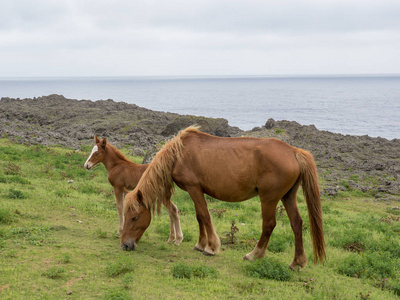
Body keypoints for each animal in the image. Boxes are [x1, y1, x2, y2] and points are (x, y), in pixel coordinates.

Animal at [119, 126, 324, 270]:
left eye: (135, 217)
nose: (125, 245)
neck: (179, 154)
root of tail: (294, 152)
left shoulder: (194, 189)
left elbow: (204, 216)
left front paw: (210, 247)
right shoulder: (196, 191)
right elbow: (199, 217)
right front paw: (200, 244)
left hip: (269, 198)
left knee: (269, 225)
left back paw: (254, 255)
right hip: (288, 197)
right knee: (296, 224)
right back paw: (297, 262)